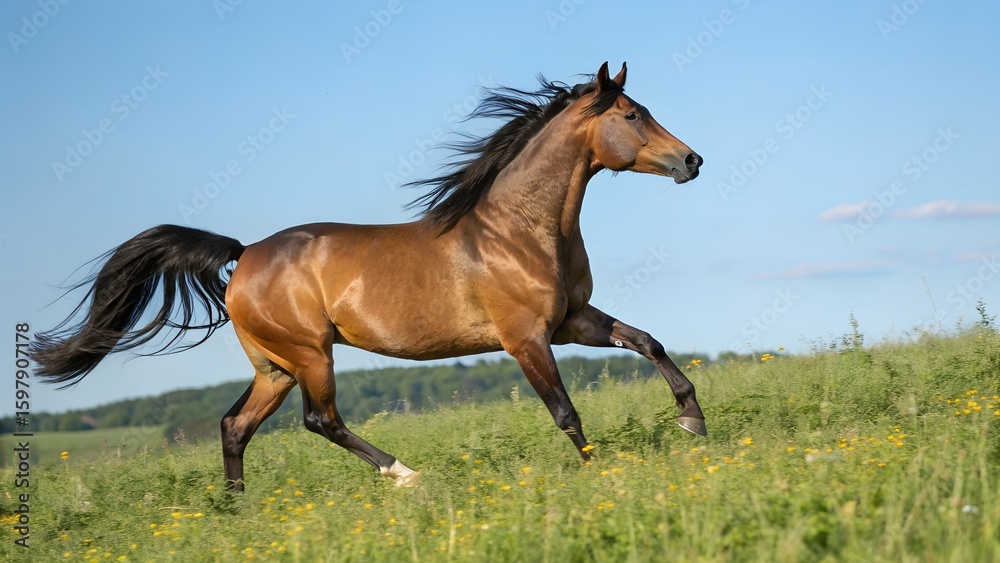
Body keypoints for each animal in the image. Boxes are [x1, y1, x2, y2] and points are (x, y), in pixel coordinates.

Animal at [33, 62, 705, 490]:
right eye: (633, 115)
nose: (692, 159)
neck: (519, 228)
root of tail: (243, 256)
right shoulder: (525, 338)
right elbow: (565, 411)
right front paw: (600, 475)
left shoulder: (571, 320)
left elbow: (648, 342)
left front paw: (691, 421)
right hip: (310, 354)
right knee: (320, 421)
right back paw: (404, 475)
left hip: (275, 367)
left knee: (234, 426)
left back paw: (234, 509)